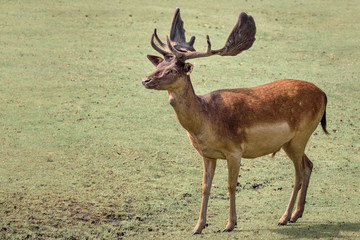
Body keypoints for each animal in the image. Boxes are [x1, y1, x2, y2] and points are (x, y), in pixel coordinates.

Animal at [141, 7, 330, 234]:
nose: (145, 80)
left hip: (301, 136)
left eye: (171, 70)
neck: (205, 122)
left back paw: (284, 217)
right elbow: (205, 186)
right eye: (159, 64)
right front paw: (198, 226)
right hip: (290, 142)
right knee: (309, 165)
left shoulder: (234, 151)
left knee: (299, 173)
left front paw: (230, 224)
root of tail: (324, 95)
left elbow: (231, 185)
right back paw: (296, 214)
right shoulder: (207, 154)